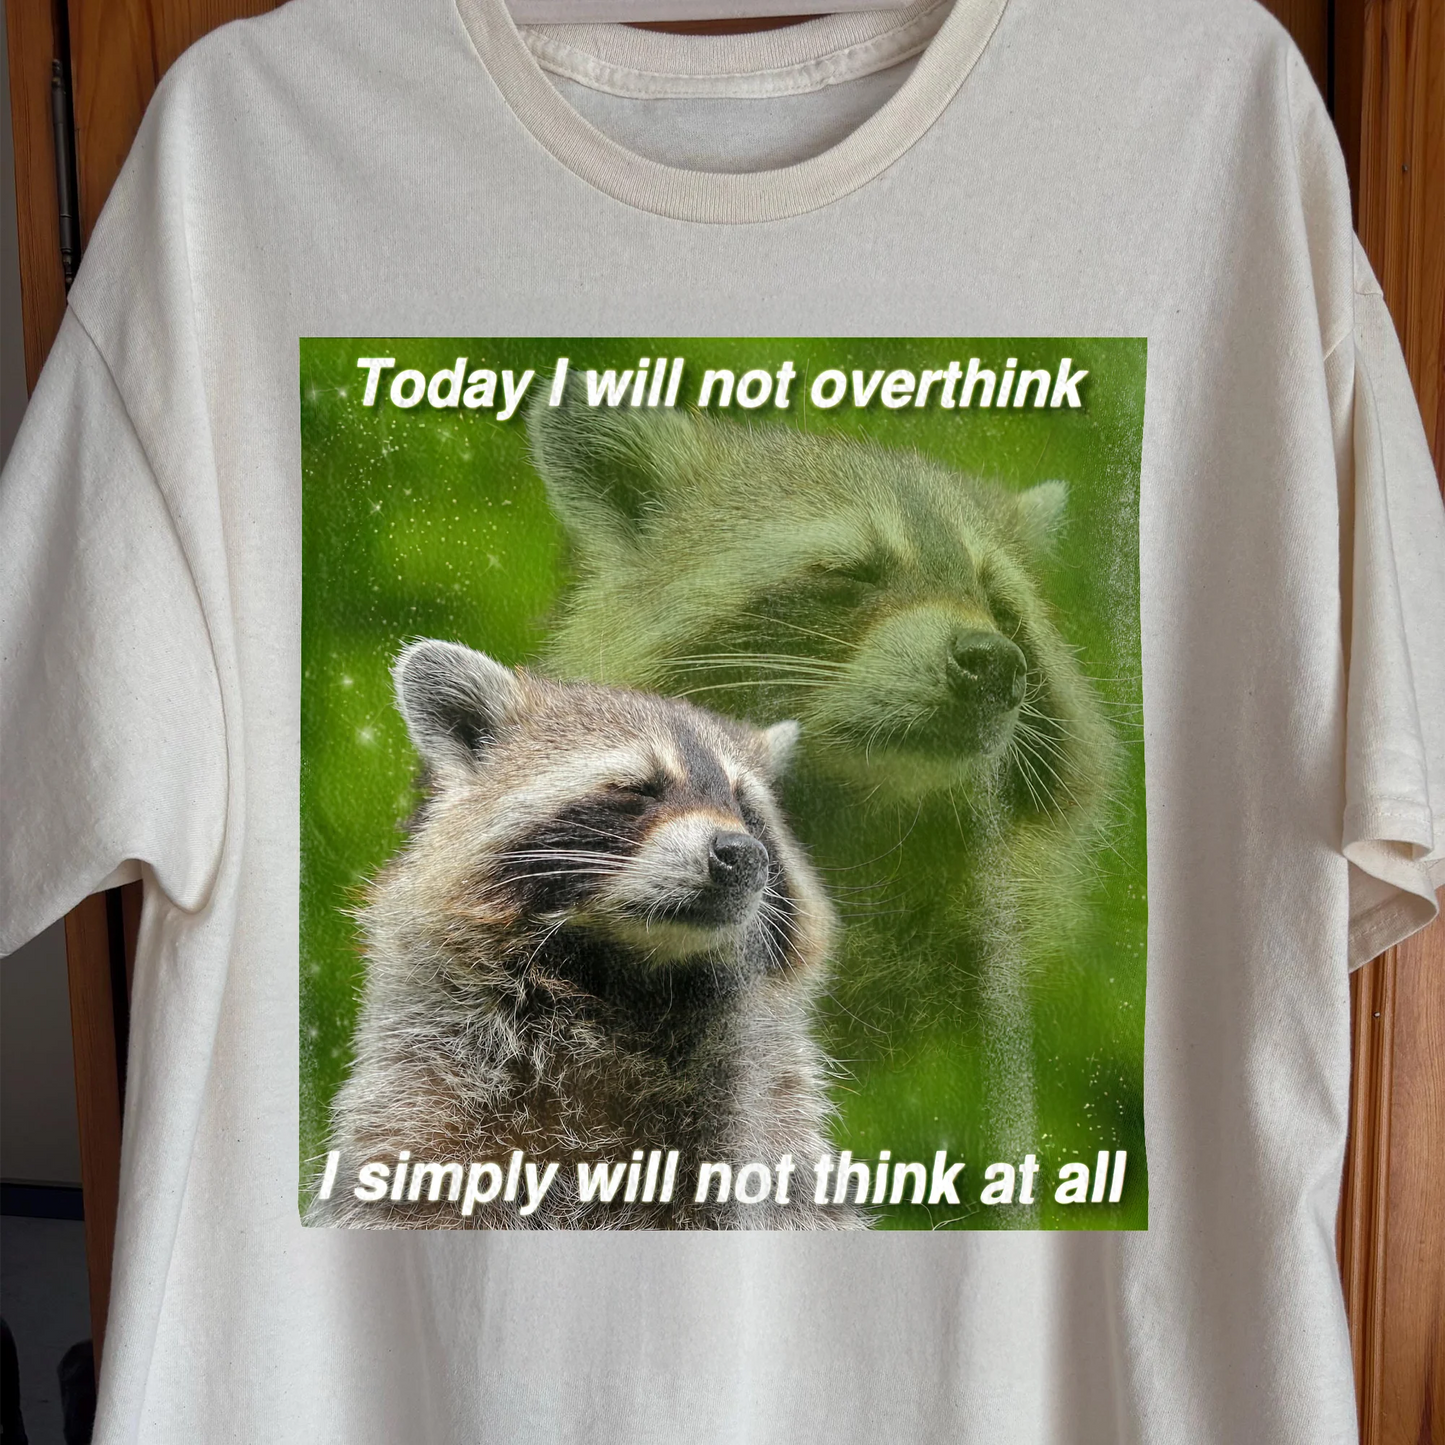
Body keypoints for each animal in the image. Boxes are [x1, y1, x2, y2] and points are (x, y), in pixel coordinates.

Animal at [311, 640, 852, 1229]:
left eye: (746, 810)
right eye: (638, 791)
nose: (741, 855)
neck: (626, 979)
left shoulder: (769, 1116)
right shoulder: (424, 1095)